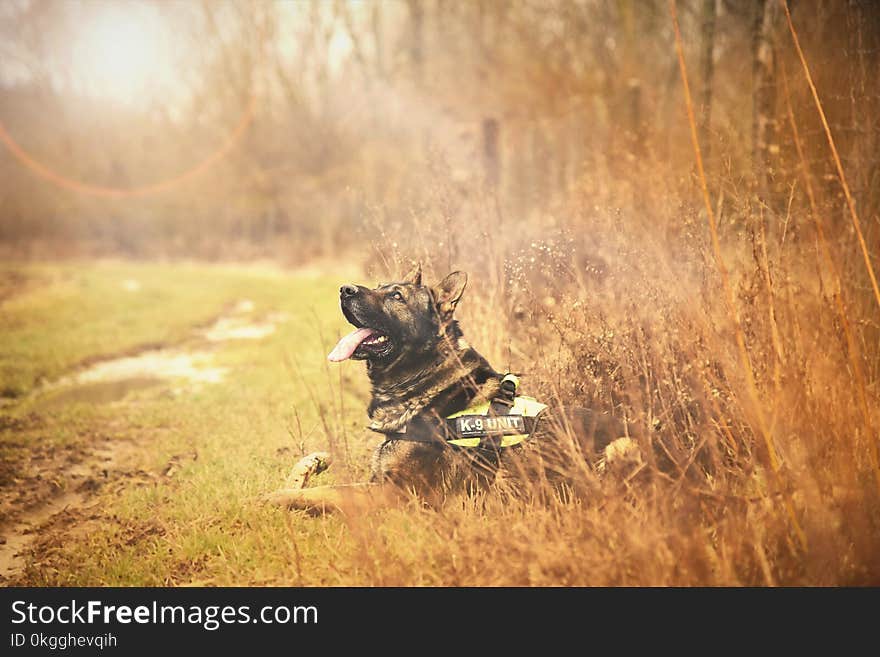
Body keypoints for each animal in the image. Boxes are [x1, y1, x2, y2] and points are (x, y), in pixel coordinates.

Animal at [268, 264, 556, 510]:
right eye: (379, 286)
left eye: (397, 296)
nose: (344, 289)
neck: (426, 375)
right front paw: (307, 467)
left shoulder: (392, 493)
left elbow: (327, 491)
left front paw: (277, 496)